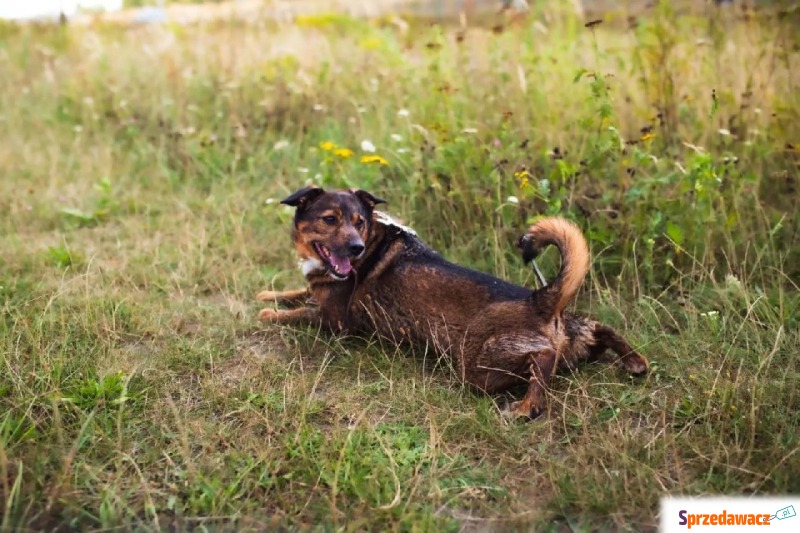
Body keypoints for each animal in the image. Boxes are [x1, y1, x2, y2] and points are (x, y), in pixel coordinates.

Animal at [260, 185, 648, 418]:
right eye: (330, 219)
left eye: (359, 222)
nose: (355, 248)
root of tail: (540, 301)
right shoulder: (319, 291)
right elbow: (296, 292)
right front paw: (268, 293)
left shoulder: (335, 321)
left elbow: (292, 313)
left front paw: (266, 310)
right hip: (575, 333)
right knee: (599, 327)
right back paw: (635, 361)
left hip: (480, 363)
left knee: (543, 358)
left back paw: (526, 406)